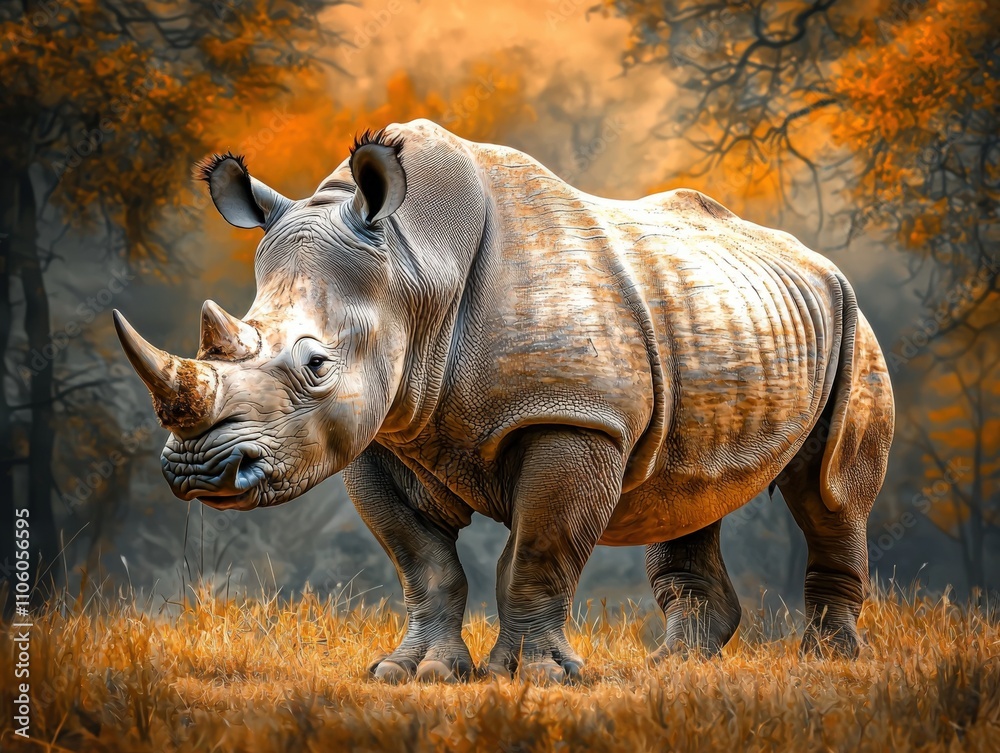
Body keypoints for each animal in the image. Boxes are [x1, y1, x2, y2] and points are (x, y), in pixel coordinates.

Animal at [114, 119, 894, 682]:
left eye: (316, 365)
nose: (198, 473)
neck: (411, 266)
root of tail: (816, 260)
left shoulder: (574, 415)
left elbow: (539, 550)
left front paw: (535, 677)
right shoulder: (380, 430)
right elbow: (424, 563)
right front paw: (412, 672)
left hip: (853, 319)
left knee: (828, 493)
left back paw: (829, 663)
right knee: (685, 493)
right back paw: (673, 667)